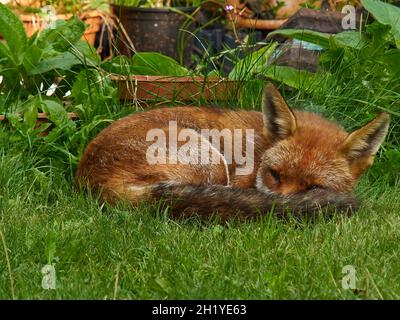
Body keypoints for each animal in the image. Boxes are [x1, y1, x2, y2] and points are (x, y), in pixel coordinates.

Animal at [76, 84, 390, 221]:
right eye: (275, 175)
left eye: (314, 187)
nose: (285, 207)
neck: (260, 149)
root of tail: (91, 179)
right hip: (211, 161)